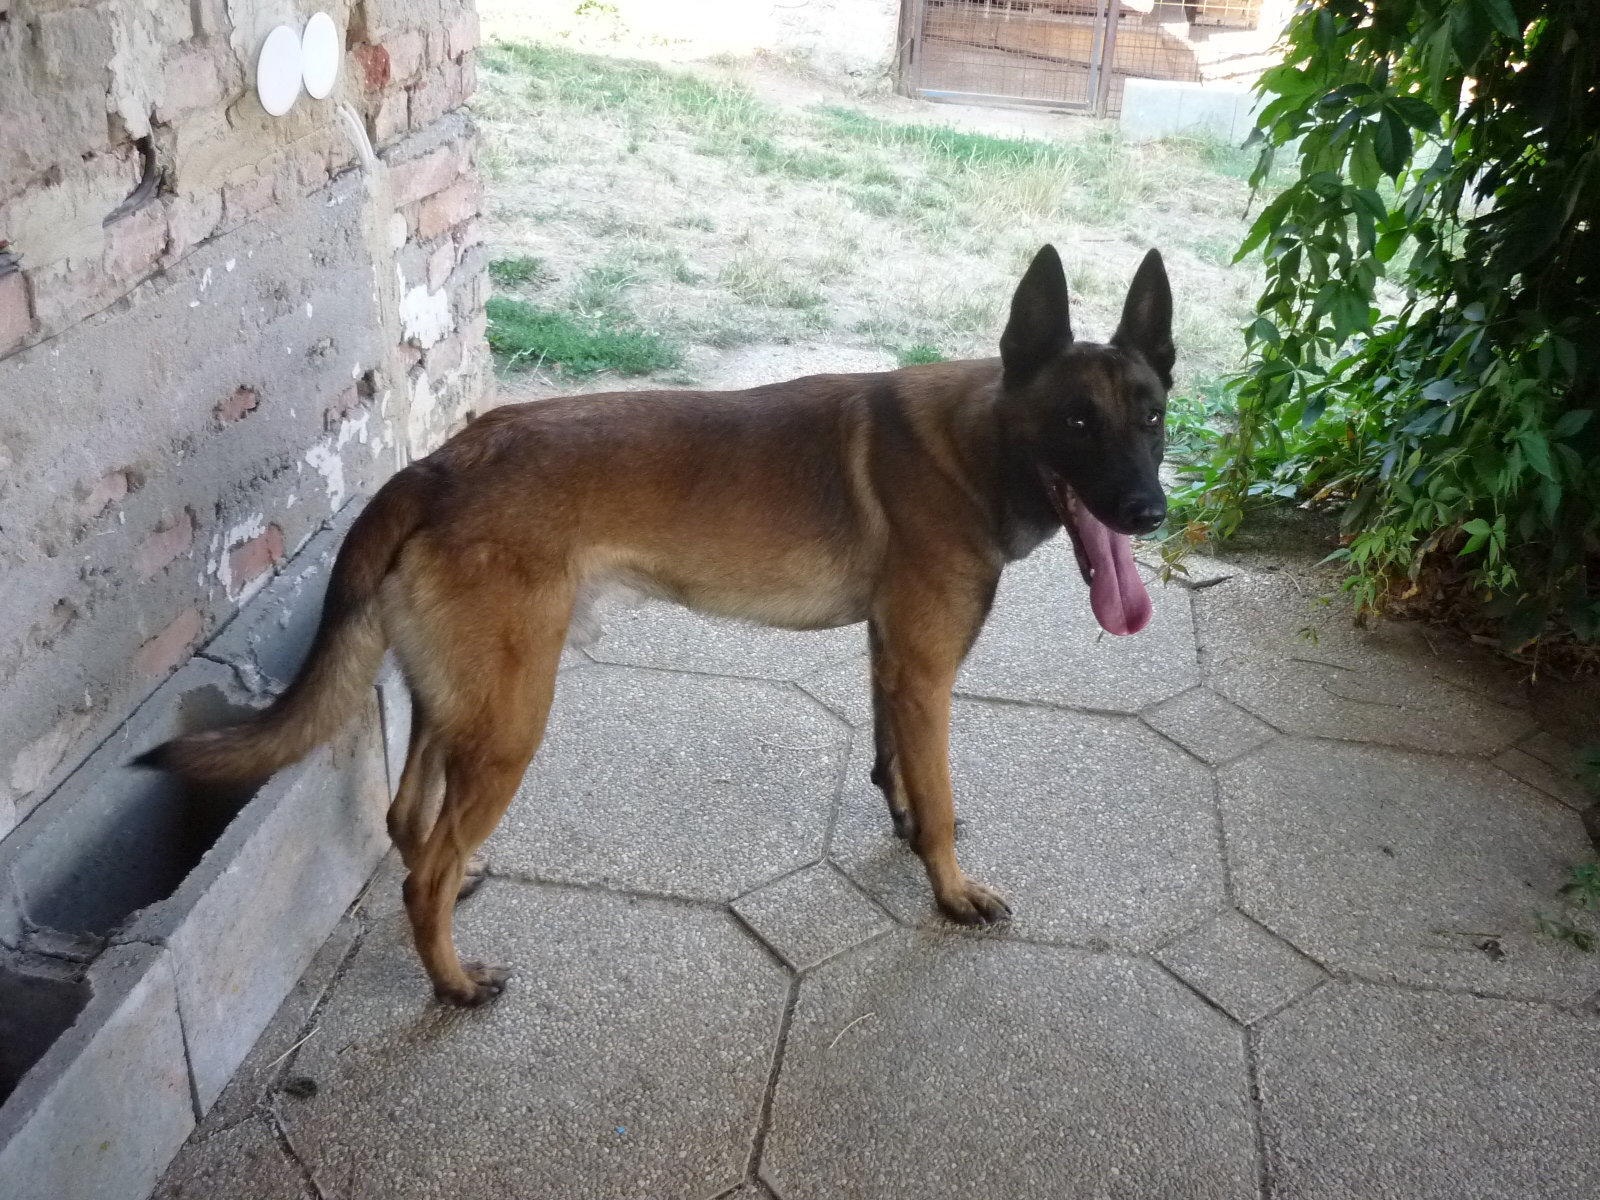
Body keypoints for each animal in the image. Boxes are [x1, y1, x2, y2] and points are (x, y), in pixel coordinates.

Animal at [137, 244, 1173, 1006]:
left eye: (1153, 417)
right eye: (1078, 423)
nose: (1149, 511)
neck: (981, 444)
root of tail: (434, 465)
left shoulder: (893, 661)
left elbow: (897, 769)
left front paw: (907, 828)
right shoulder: (926, 672)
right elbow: (942, 797)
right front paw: (950, 889)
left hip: (462, 703)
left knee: (409, 825)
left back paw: (452, 893)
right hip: (513, 722)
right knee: (422, 868)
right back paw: (455, 984)